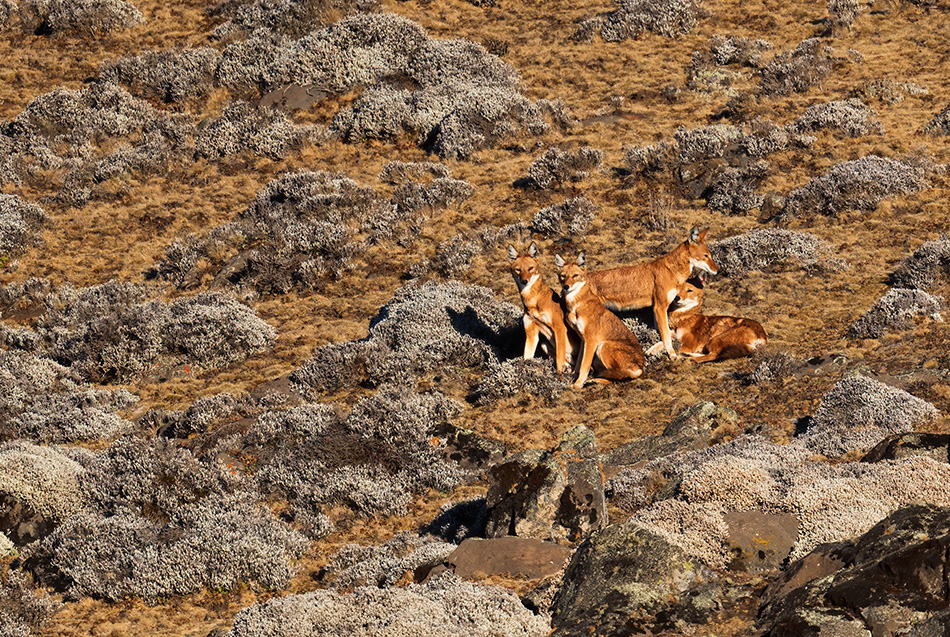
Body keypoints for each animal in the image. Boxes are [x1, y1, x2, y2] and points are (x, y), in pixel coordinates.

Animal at [556, 252, 644, 388]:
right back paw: (594, 380)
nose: (566, 287)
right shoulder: (584, 341)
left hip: (602, 347)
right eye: (563, 276)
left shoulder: (591, 341)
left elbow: (584, 366)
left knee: (617, 377)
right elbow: (578, 364)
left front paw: (577, 385)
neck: (576, 305)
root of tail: (641, 368)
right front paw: (574, 379)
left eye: (575, 276)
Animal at [588, 227, 720, 358]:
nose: (718, 270)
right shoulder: (660, 307)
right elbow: (666, 336)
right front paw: (672, 355)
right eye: (706, 256)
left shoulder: (656, 308)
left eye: (710, 255)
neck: (671, 271)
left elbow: (663, 334)